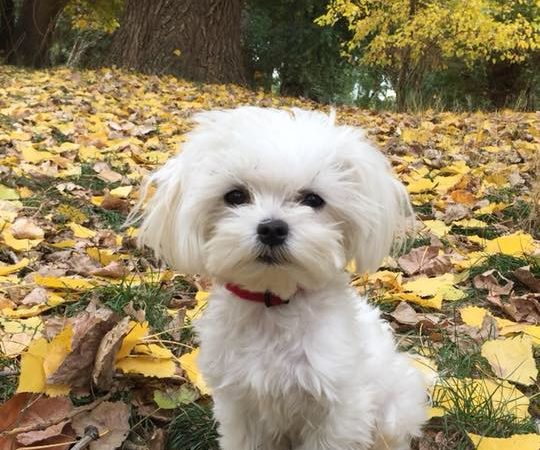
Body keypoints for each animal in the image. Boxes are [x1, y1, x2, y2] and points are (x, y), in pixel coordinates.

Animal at [134, 108, 426, 450]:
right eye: (235, 196)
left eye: (313, 199)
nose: (272, 228)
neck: (273, 304)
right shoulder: (240, 405)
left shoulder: (339, 411)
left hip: (393, 410)